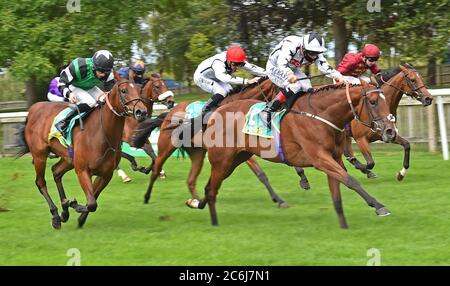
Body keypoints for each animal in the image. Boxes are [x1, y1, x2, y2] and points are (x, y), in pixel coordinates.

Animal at [16, 72, 147, 229]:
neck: (101, 133)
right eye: (123, 90)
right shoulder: (83, 171)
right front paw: (74, 205)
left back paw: (64, 212)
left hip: (68, 159)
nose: (142, 112)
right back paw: (56, 216)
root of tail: (33, 110)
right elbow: (91, 203)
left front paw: (79, 217)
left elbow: (94, 198)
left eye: (140, 90)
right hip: (39, 155)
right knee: (41, 183)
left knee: (56, 172)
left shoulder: (105, 174)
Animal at [132, 77, 292, 208]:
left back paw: (196, 201)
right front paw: (279, 199)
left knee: (190, 180)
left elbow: (263, 173)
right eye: (281, 89)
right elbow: (260, 174)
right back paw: (147, 197)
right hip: (166, 147)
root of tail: (168, 114)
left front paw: (281, 197)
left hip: (197, 152)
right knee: (156, 168)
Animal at [185, 80, 396, 228]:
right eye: (373, 102)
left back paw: (198, 205)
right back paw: (212, 220)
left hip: (235, 160)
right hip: (222, 161)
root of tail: (214, 114)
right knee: (212, 189)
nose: (390, 131)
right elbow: (352, 181)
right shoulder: (320, 159)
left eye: (385, 100)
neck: (321, 115)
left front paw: (343, 225)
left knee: (209, 188)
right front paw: (379, 206)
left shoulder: (333, 159)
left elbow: (338, 192)